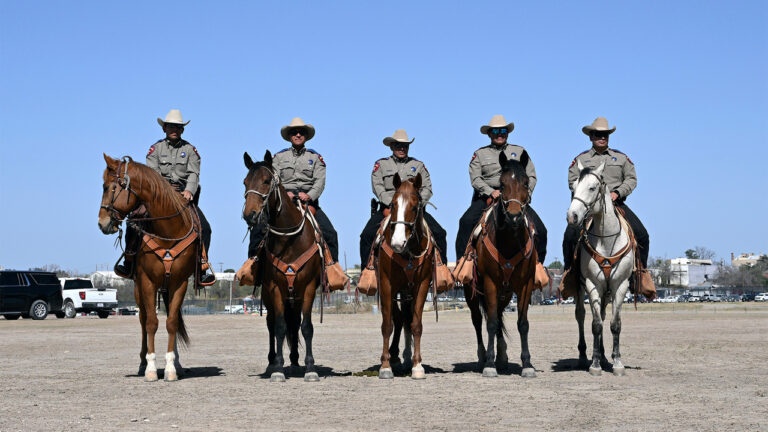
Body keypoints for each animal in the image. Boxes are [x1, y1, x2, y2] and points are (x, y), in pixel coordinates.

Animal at [97, 154, 198, 382]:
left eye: (107, 187)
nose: (102, 223)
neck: (168, 232)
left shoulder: (179, 283)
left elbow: (171, 322)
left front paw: (170, 368)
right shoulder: (147, 282)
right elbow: (151, 322)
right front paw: (151, 368)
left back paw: (177, 364)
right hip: (138, 289)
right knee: (143, 321)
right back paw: (143, 364)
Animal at [242, 151, 322, 382]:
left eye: (266, 181)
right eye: (245, 182)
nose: (249, 215)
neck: (290, 241)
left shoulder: (309, 287)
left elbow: (306, 327)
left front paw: (310, 368)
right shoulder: (274, 288)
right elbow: (278, 327)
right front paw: (277, 368)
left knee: (295, 324)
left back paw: (295, 362)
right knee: (272, 324)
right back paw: (272, 363)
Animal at [376, 174, 436, 380]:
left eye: (415, 207)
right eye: (393, 205)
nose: (397, 242)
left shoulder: (422, 285)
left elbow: (416, 324)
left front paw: (417, 366)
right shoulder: (387, 285)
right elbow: (387, 324)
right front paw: (385, 366)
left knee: (406, 319)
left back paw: (407, 358)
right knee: (399, 319)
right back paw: (393, 357)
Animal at [462, 153, 540, 378]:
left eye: (525, 182)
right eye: (502, 184)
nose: (514, 216)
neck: (509, 241)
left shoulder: (525, 285)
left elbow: (522, 324)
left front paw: (527, 364)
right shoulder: (489, 283)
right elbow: (490, 323)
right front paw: (489, 364)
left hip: (505, 294)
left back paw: (502, 356)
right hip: (472, 291)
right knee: (478, 320)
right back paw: (483, 357)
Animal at [568, 160, 632, 376]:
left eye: (592, 187)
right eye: (573, 187)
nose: (572, 216)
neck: (606, 239)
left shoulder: (620, 285)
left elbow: (615, 324)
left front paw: (617, 362)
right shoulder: (592, 284)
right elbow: (596, 325)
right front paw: (594, 364)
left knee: (604, 317)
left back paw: (605, 356)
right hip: (582, 288)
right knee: (580, 315)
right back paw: (584, 357)